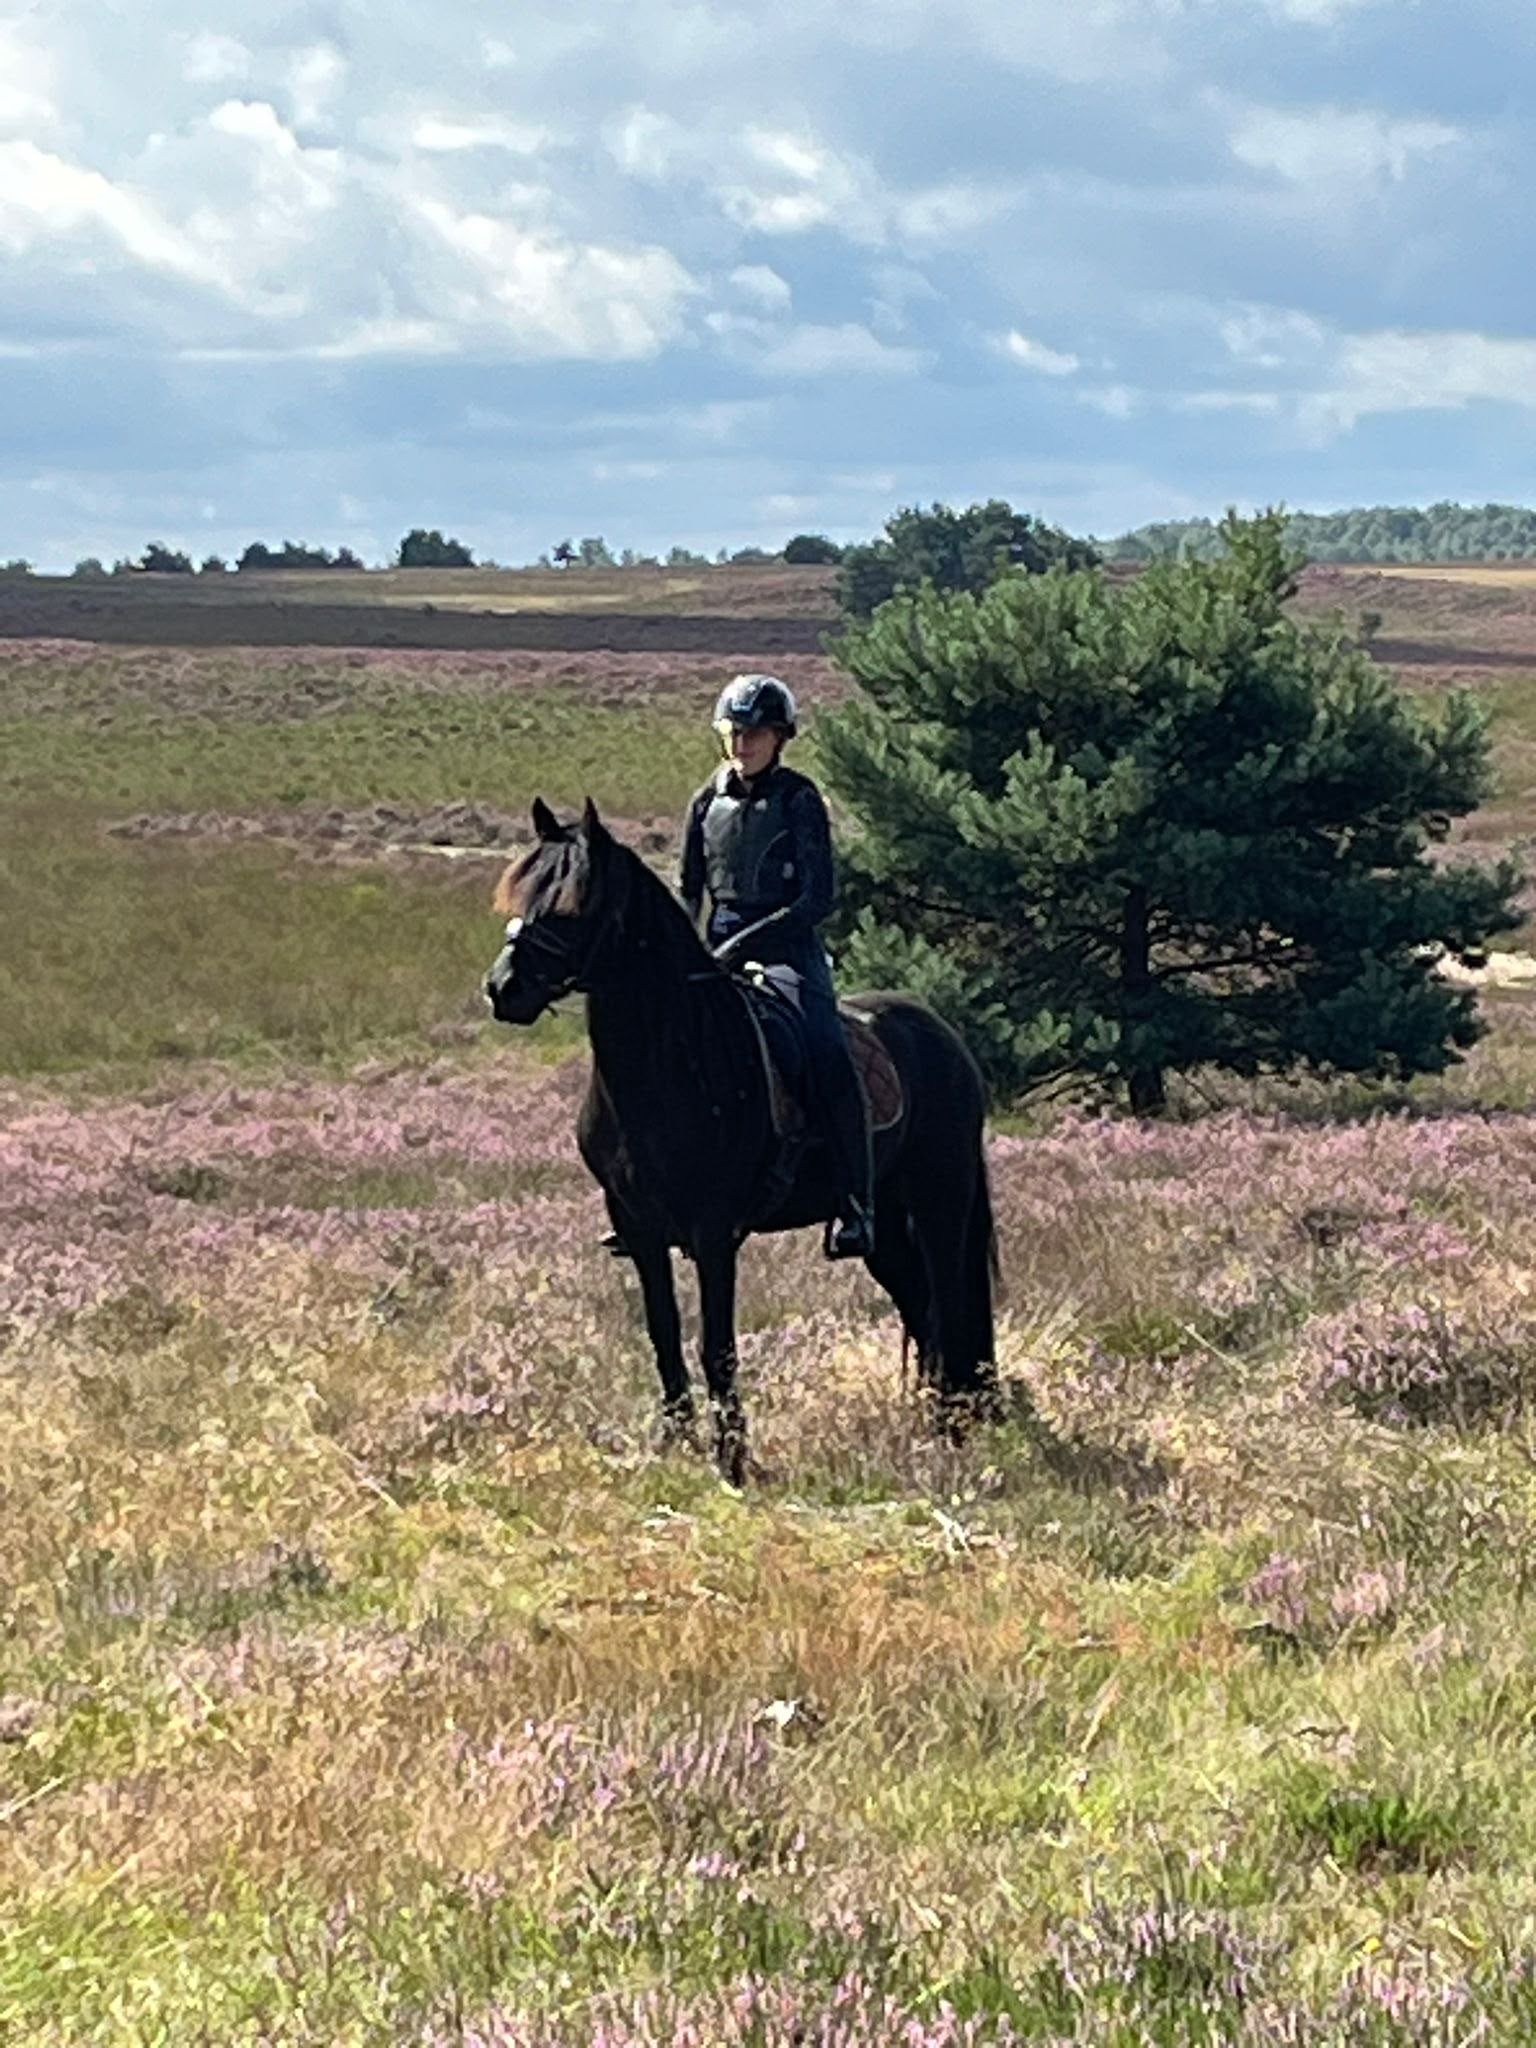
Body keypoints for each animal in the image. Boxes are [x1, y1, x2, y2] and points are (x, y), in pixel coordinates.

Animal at [484, 797, 999, 1484]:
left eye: (570, 906)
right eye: (520, 894)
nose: (502, 988)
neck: (672, 1063)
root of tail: (946, 1039)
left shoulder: (713, 1232)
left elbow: (717, 1346)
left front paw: (733, 1461)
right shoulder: (638, 1228)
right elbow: (664, 1335)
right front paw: (675, 1445)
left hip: (940, 1205)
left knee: (949, 1306)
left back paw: (952, 1431)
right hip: (886, 1227)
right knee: (924, 1311)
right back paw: (932, 1425)